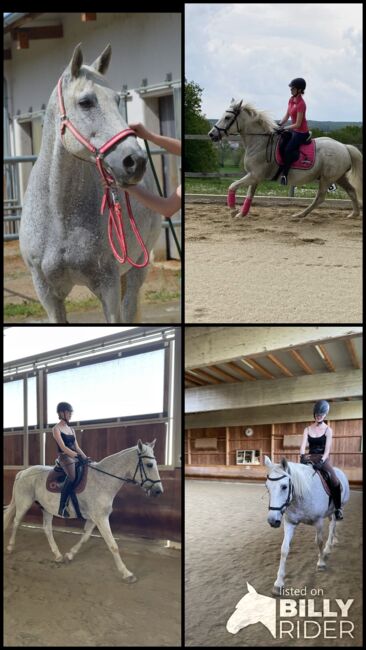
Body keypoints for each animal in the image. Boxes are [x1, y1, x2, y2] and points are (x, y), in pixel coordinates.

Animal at [3, 438, 162, 580]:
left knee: (47, 528)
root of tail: (23, 472)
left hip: (46, 508)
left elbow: (85, 537)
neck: (103, 480)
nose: (158, 491)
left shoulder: (94, 518)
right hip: (24, 503)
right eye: (149, 465)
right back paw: (10, 547)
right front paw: (127, 573)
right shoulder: (101, 518)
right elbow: (113, 545)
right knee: (16, 522)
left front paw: (70, 555)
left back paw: (58, 555)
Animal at [209, 98, 364, 219]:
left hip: (327, 179)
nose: (211, 134)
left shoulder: (254, 175)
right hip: (339, 177)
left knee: (320, 197)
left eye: (227, 118)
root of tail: (344, 147)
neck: (260, 142)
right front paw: (241, 214)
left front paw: (233, 211)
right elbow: (249, 195)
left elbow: (232, 186)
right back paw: (354, 214)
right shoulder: (254, 176)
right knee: (351, 191)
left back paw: (300, 215)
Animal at [264, 456, 348, 592]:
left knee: (333, 526)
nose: (272, 520)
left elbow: (319, 542)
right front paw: (279, 582)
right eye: (267, 487)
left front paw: (321, 563)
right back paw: (332, 543)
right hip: (330, 512)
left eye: (284, 487)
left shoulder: (318, 521)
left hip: (337, 509)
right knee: (333, 526)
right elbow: (284, 549)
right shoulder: (289, 523)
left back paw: (328, 547)